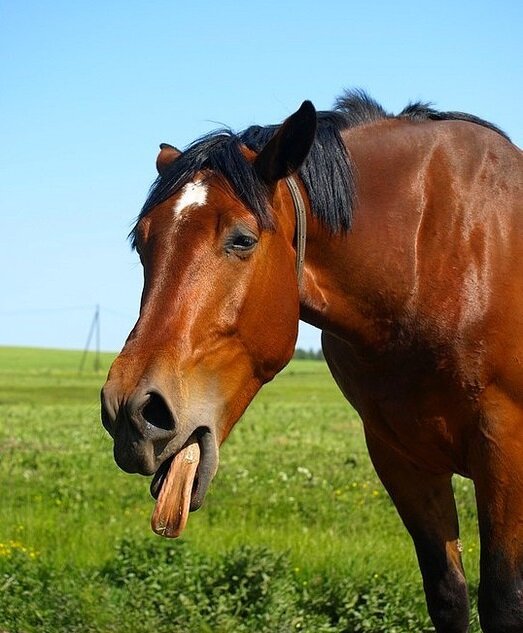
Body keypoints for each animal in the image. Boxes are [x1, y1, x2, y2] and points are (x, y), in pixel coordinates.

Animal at [101, 90, 523, 632]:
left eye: (242, 239)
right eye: (142, 243)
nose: (132, 412)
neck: (437, 257)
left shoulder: (504, 449)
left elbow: (503, 602)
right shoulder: (402, 457)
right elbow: (449, 594)